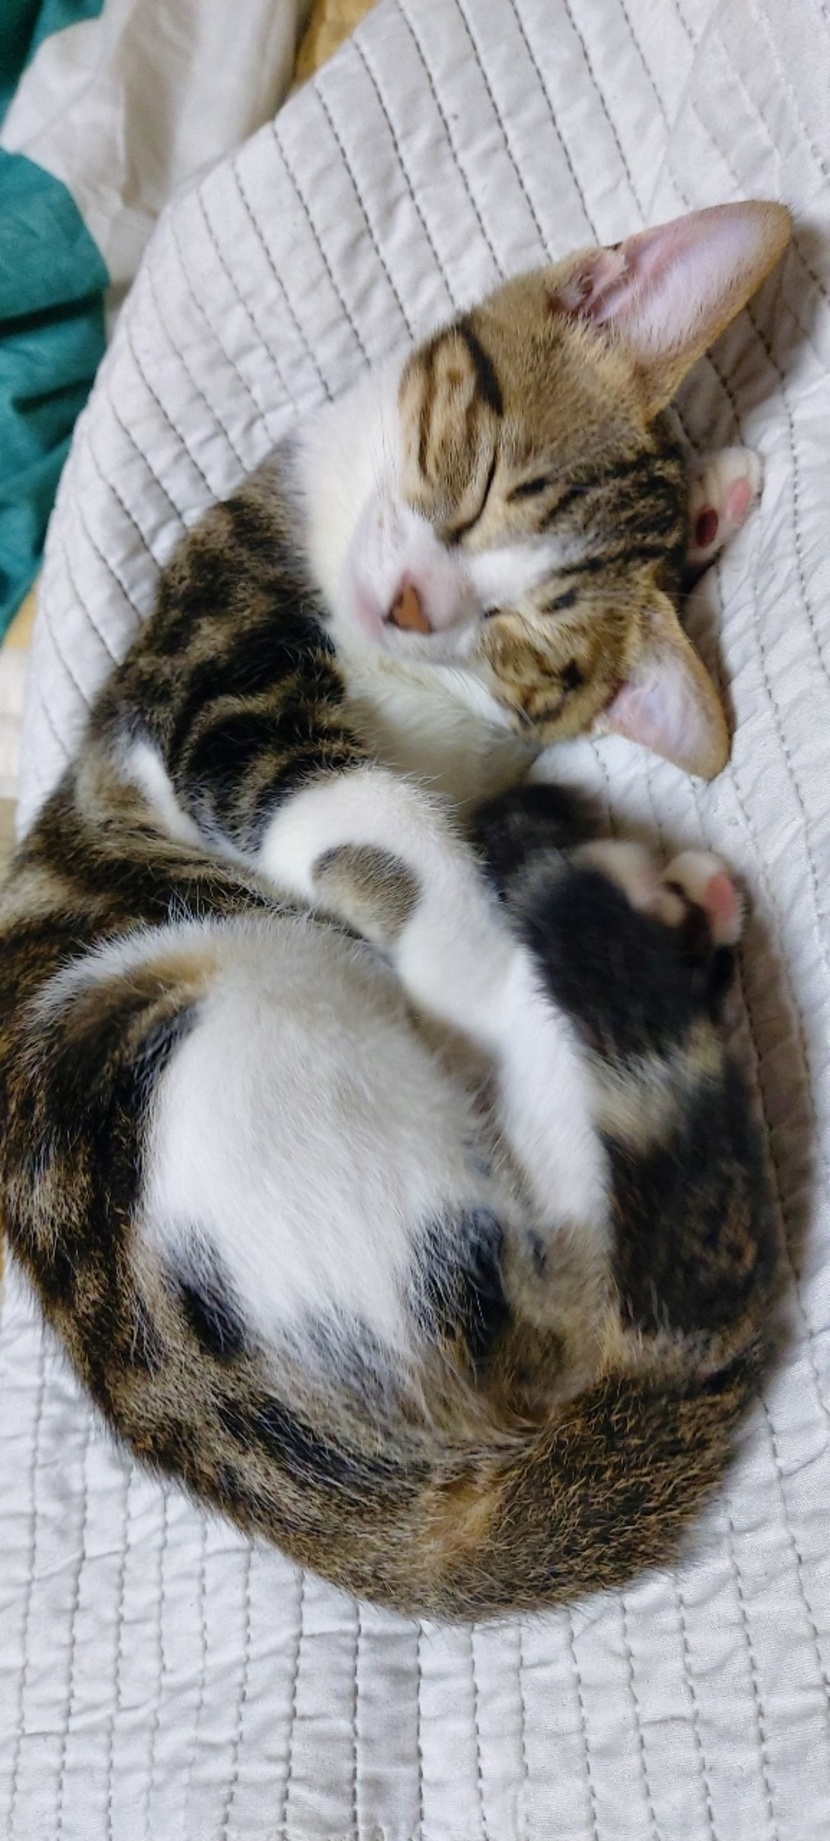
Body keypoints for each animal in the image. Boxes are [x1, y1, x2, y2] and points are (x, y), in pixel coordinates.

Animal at [0, 202, 789, 1620]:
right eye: (473, 475)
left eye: (523, 635)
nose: (417, 601)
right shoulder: (211, 697)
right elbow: (375, 824)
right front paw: (483, 951)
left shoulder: (473, 740)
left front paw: (707, 497)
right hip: (230, 1028)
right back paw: (627, 926)